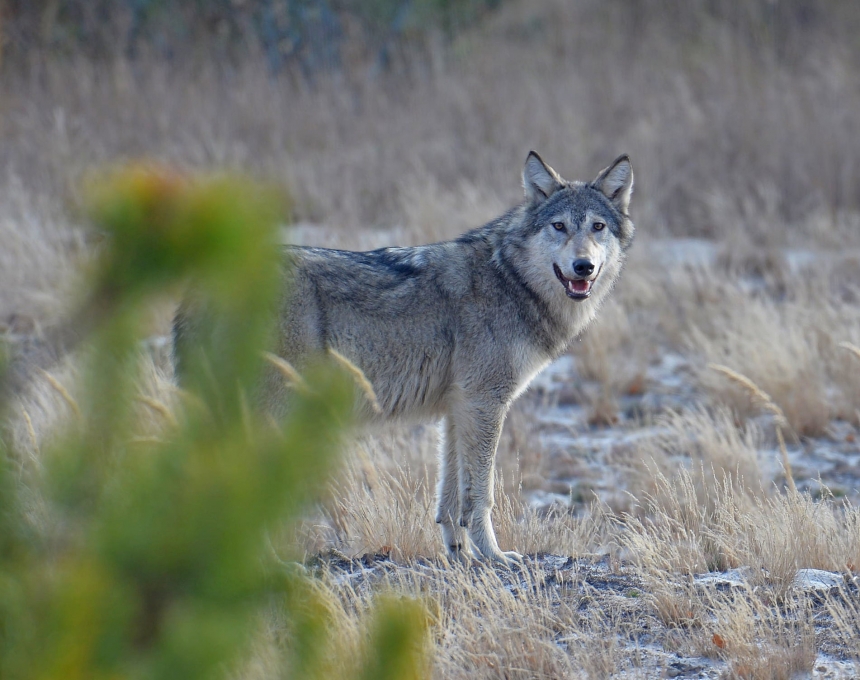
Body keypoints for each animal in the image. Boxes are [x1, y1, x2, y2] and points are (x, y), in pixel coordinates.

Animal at [176, 151, 632, 564]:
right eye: (559, 226)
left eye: (597, 227)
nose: (583, 266)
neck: (511, 280)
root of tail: (201, 286)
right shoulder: (485, 403)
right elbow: (481, 495)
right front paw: (495, 556)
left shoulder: (458, 408)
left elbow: (452, 498)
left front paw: (460, 555)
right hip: (274, 414)